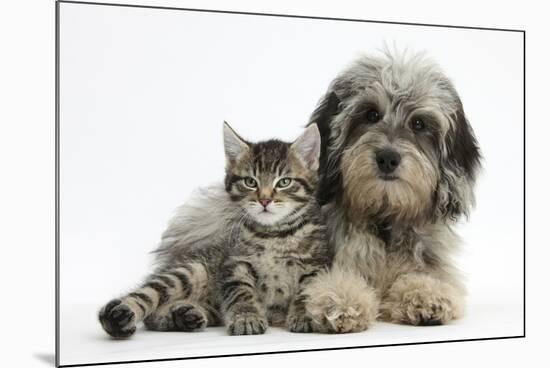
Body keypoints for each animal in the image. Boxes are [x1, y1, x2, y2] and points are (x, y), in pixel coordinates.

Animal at [99, 123, 332, 336]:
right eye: (250, 181)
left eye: (284, 182)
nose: (264, 200)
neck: (274, 234)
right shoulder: (234, 264)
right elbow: (241, 292)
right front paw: (246, 317)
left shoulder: (316, 266)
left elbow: (308, 292)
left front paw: (304, 314)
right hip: (190, 271)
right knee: (148, 297)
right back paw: (119, 316)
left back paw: (183, 315)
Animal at [304, 50, 480, 332]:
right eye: (370, 114)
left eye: (419, 123)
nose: (387, 158)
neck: (384, 219)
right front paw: (340, 299)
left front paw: (426, 294)